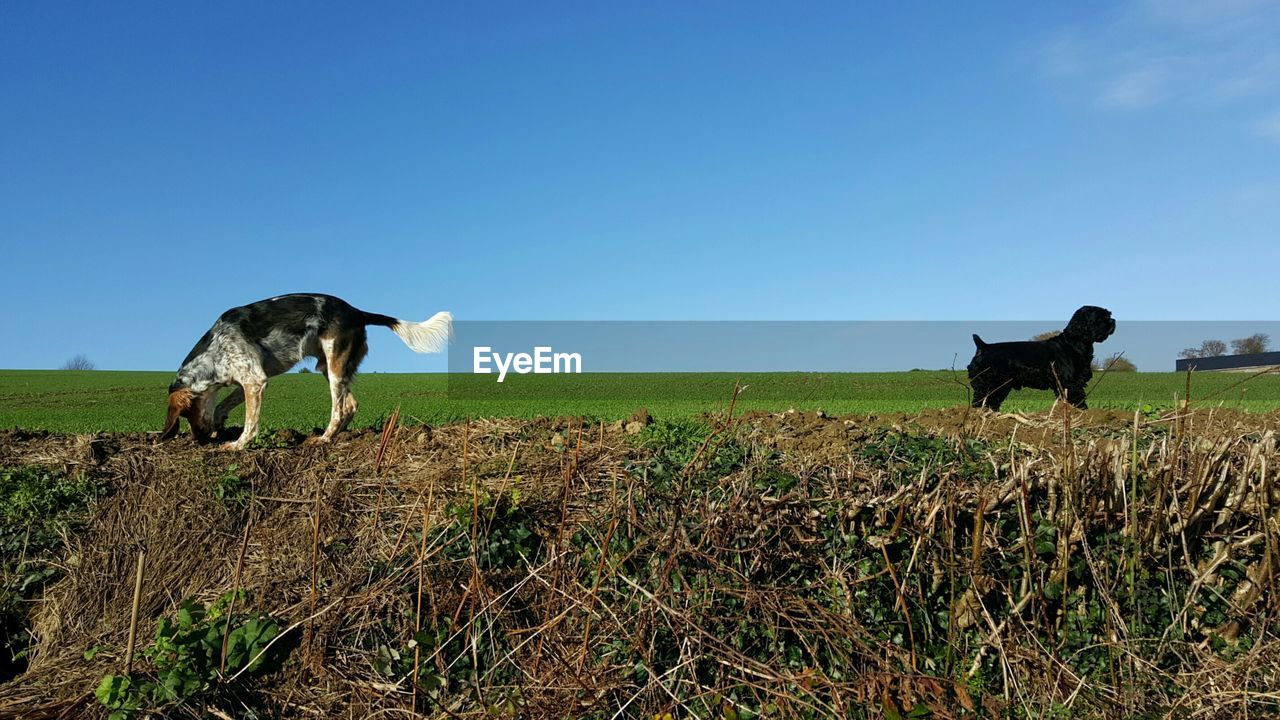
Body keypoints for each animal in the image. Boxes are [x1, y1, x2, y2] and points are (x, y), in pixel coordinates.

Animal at [160, 293, 453, 448]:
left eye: (186, 413)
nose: (199, 441)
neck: (215, 349)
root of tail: (357, 312)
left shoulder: (255, 380)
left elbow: (250, 423)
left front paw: (237, 445)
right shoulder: (250, 380)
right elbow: (222, 406)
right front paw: (220, 428)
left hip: (334, 365)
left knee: (340, 409)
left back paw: (324, 438)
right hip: (328, 367)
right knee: (351, 405)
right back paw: (337, 435)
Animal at [962, 303, 1116, 409]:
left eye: (1108, 315)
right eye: (1100, 317)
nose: (1113, 321)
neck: (1074, 342)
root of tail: (984, 346)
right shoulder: (1070, 383)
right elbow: (1077, 399)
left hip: (1000, 387)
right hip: (990, 385)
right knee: (980, 402)